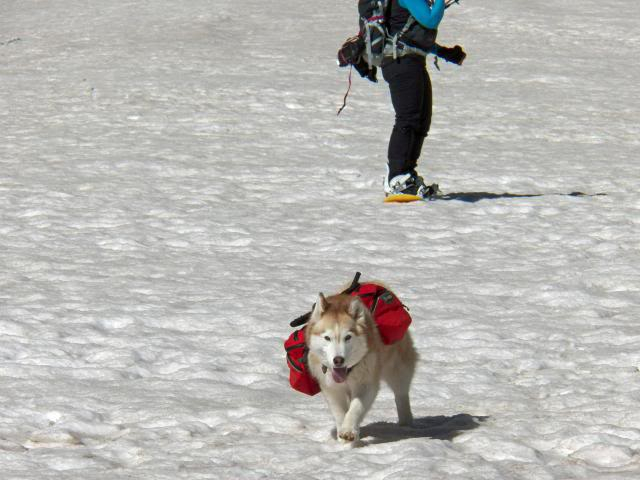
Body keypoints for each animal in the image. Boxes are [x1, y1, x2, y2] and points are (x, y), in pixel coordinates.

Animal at [306, 292, 420, 442]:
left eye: (348, 337)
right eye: (327, 338)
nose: (338, 360)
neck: (348, 372)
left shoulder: (365, 382)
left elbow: (356, 407)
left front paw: (348, 430)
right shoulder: (331, 387)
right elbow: (339, 412)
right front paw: (342, 434)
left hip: (397, 367)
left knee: (401, 393)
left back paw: (405, 423)